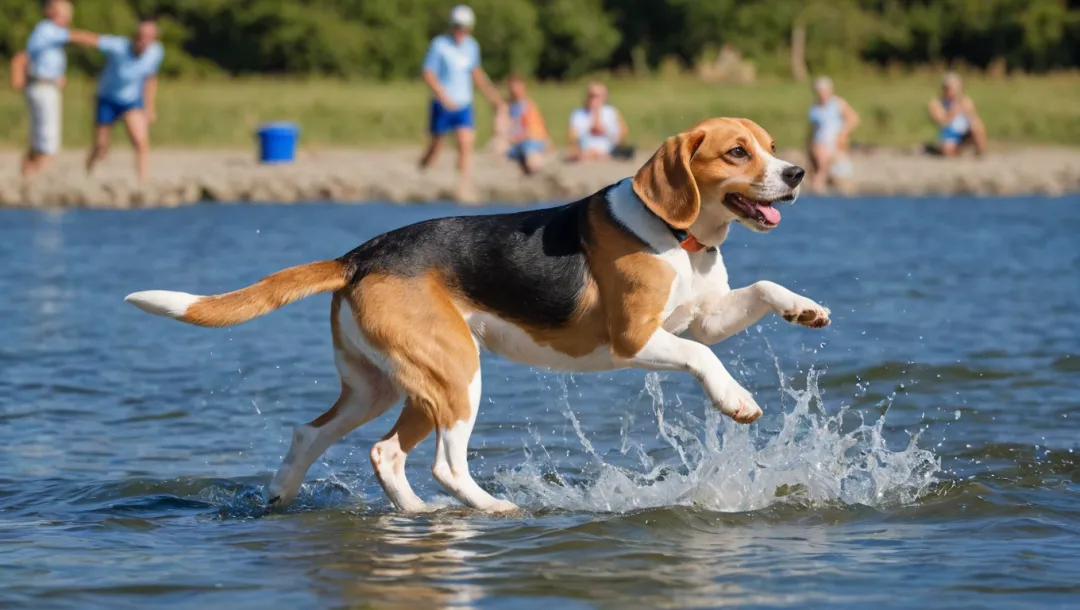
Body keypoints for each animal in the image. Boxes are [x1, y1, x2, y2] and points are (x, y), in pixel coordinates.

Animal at [128, 116, 833, 511]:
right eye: (738, 152)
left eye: (771, 146)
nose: (798, 173)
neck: (678, 235)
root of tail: (360, 255)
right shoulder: (635, 339)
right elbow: (701, 355)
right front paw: (736, 400)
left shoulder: (704, 313)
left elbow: (761, 289)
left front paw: (806, 309)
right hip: (456, 375)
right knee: (440, 463)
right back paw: (493, 510)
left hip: (387, 386)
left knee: (347, 444)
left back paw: (365, 508)